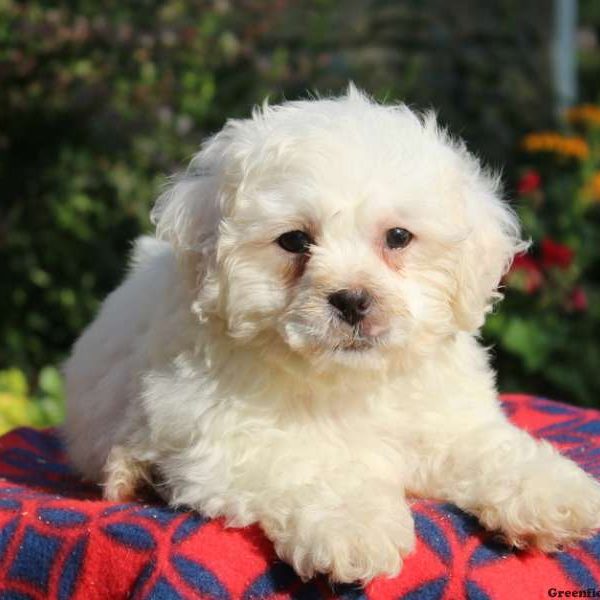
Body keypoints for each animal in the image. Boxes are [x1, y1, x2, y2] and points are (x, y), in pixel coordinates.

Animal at [63, 86, 596, 584]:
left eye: (398, 237)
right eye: (295, 241)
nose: (353, 300)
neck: (349, 381)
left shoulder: (445, 416)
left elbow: (487, 446)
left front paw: (551, 490)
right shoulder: (223, 435)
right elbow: (313, 465)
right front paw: (353, 526)